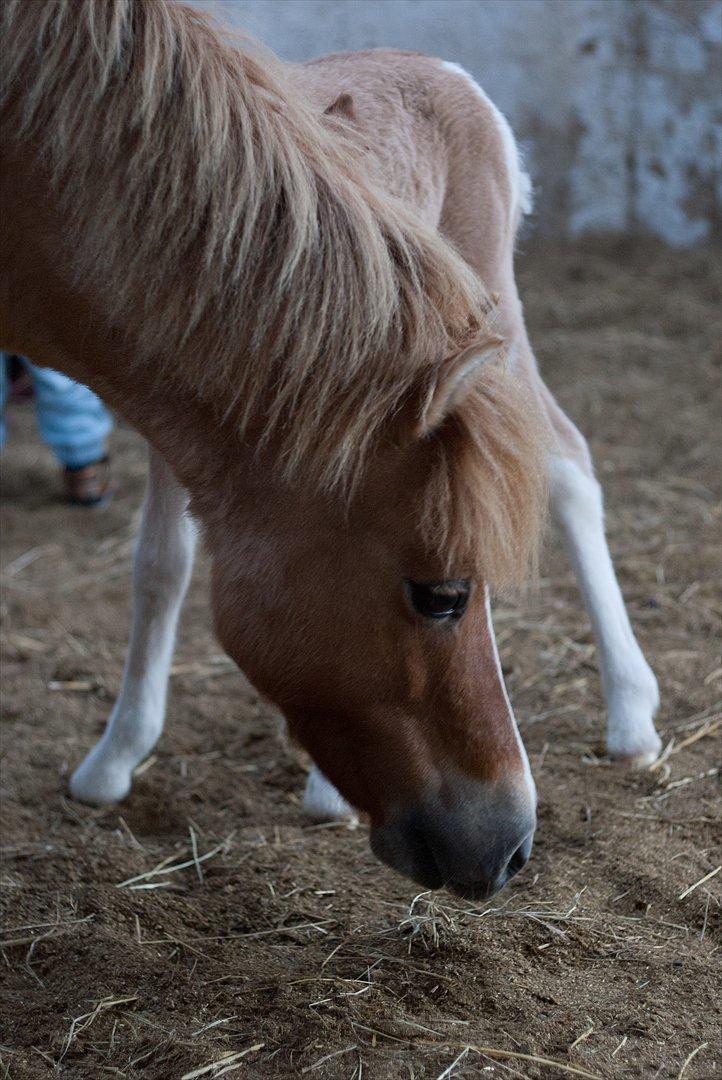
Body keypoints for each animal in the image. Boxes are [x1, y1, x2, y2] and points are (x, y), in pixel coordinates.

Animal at [0, 0, 661, 900]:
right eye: (442, 596)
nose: (506, 848)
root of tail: (449, 73)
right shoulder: (178, 422)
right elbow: (162, 564)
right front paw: (112, 761)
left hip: (495, 315)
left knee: (567, 465)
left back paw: (630, 716)